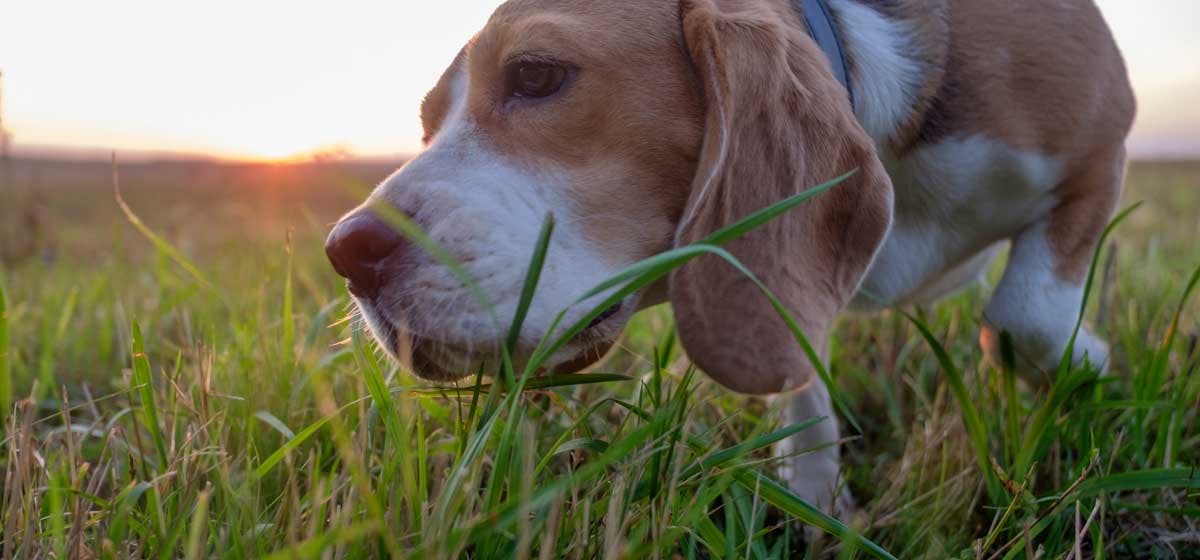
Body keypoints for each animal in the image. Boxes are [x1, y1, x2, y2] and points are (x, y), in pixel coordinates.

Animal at [326, 0, 1132, 513]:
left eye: (536, 74)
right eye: (428, 123)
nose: (346, 252)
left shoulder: (1103, 146)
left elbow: (1024, 315)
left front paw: (1088, 365)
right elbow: (799, 375)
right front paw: (816, 499)